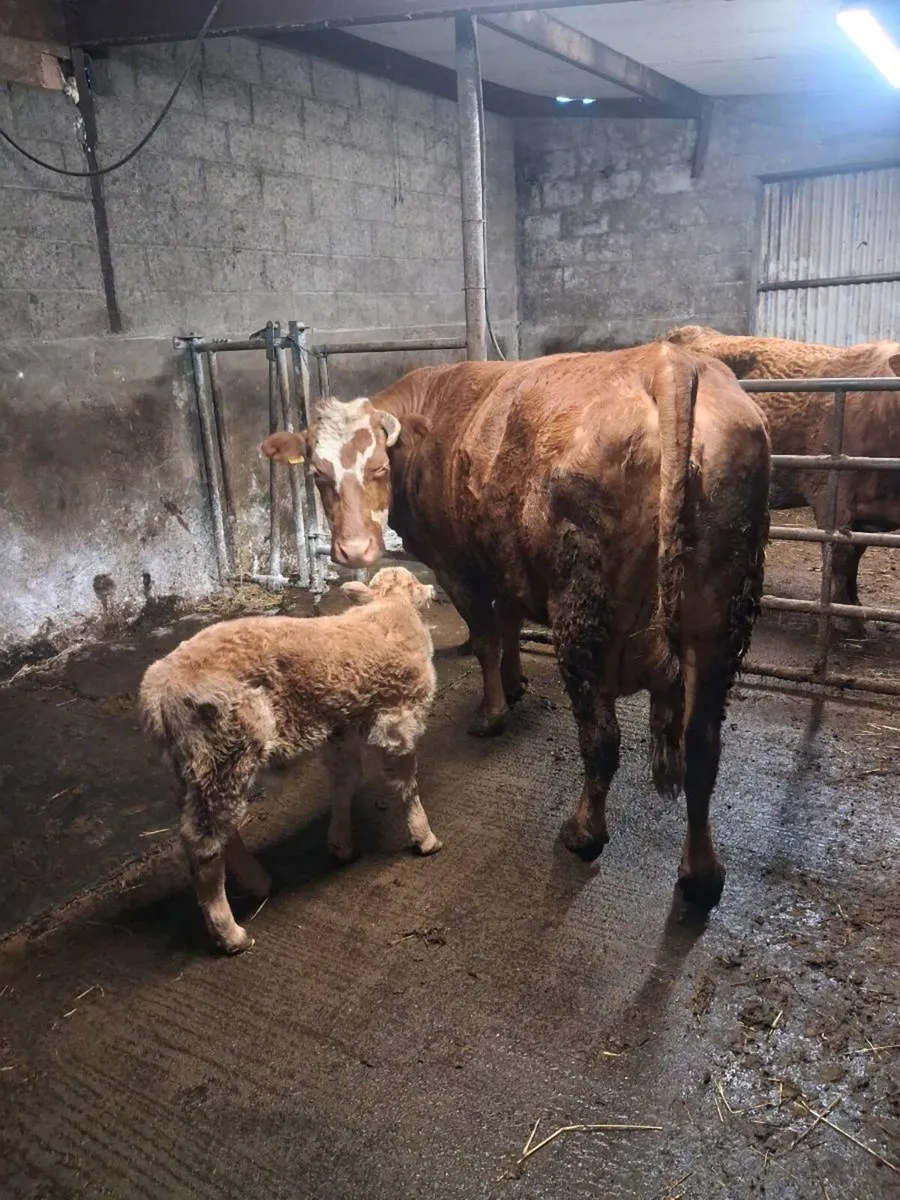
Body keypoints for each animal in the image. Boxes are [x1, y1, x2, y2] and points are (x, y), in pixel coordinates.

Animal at [140, 566, 441, 955]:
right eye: (416, 584)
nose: (432, 589)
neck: (389, 609)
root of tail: (155, 691)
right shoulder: (399, 717)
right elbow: (407, 785)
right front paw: (424, 836)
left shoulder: (340, 728)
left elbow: (346, 781)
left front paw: (340, 842)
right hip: (223, 750)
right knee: (201, 840)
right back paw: (231, 933)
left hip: (191, 768)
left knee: (220, 828)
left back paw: (257, 882)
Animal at [263, 345, 770, 908]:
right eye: (317, 475)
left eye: (377, 467)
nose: (354, 551)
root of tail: (667, 359)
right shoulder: (499, 556)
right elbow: (506, 624)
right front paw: (514, 681)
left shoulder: (456, 564)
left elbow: (485, 637)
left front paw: (492, 712)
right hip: (718, 617)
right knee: (702, 744)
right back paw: (701, 873)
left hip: (582, 610)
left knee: (602, 738)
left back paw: (583, 832)